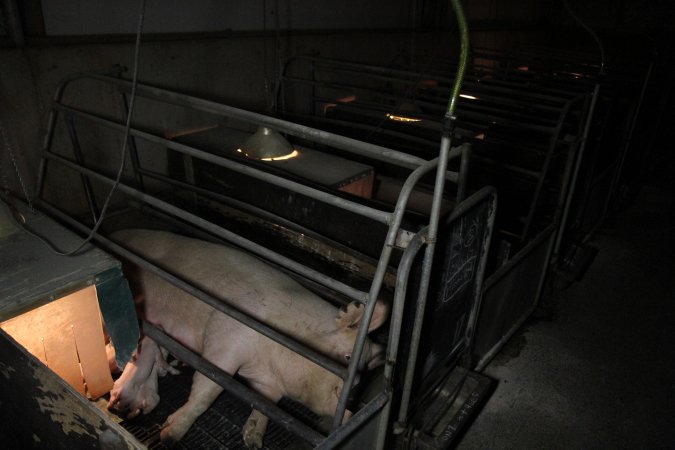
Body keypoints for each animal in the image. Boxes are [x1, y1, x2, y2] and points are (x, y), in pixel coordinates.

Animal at [107, 230, 388, 448]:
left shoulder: (268, 384)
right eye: (348, 357)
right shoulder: (227, 338)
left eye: (364, 369)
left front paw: (253, 440)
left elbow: (265, 405)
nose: (352, 403)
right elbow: (209, 389)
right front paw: (169, 436)